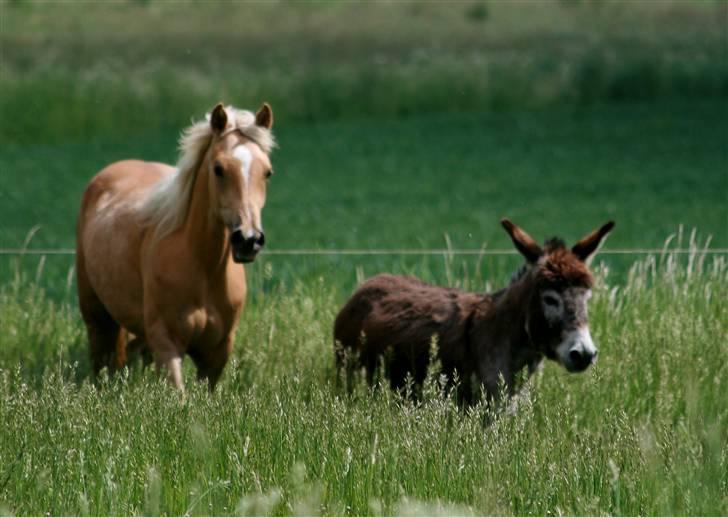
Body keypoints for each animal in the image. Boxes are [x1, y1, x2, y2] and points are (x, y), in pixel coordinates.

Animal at [77, 103, 276, 390]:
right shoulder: (167, 344)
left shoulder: (217, 354)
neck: (204, 268)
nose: (248, 240)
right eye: (218, 169)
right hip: (97, 319)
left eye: (267, 172)